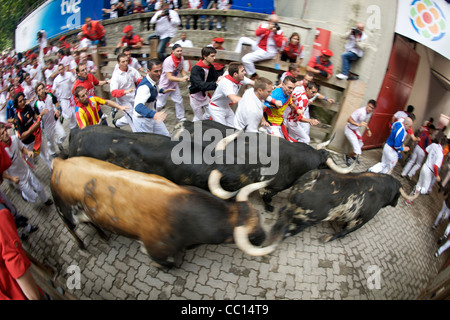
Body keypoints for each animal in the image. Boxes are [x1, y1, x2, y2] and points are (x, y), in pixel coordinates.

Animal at [50, 156, 282, 268]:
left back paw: (103, 235)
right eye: (252, 233)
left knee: (92, 221)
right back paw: (82, 246)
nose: (264, 237)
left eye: (259, 217)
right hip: (64, 212)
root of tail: (60, 162)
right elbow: (171, 264)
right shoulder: (157, 250)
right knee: (71, 229)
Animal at [272, 170, 420, 242]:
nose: (395, 204)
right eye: (398, 195)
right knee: (286, 229)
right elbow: (344, 231)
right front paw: (327, 238)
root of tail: (315, 176)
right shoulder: (360, 221)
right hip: (304, 219)